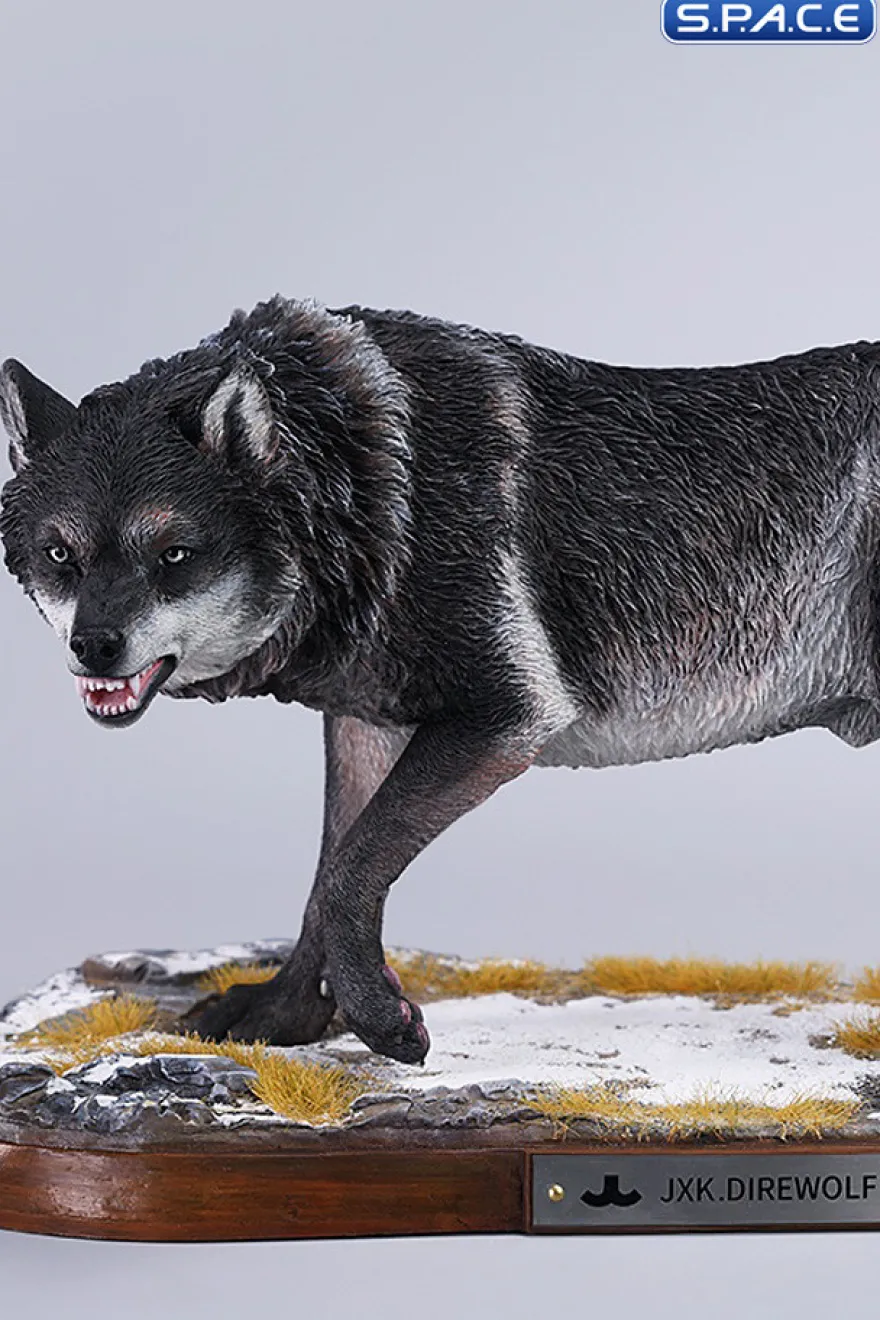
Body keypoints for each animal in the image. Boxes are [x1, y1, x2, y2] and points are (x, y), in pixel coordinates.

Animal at [2, 297, 880, 1063]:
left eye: (173, 554)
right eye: (60, 555)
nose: (94, 647)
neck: (371, 481)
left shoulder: (506, 718)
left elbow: (351, 872)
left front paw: (382, 1025)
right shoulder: (366, 725)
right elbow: (326, 876)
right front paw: (284, 1019)